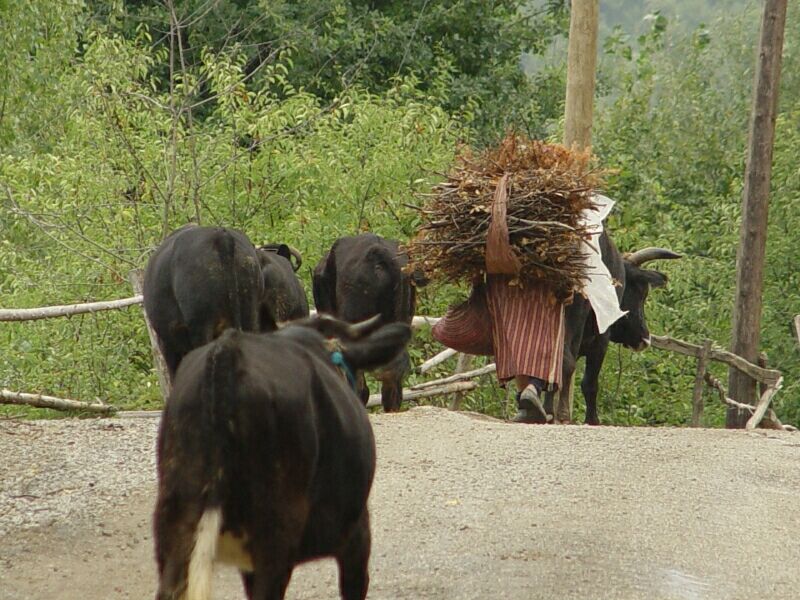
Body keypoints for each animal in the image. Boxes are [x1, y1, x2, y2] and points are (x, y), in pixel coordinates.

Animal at [540, 233, 680, 426]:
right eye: (642, 293)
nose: (645, 338)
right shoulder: (600, 340)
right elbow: (589, 383)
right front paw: (592, 419)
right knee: (565, 362)